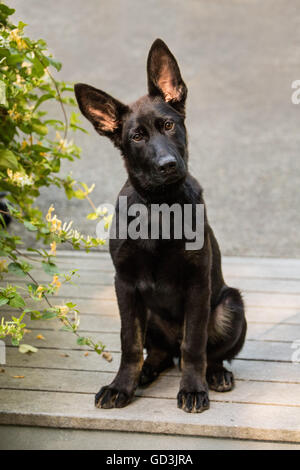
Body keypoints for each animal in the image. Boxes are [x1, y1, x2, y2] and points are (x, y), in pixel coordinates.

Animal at [74, 40, 246, 414]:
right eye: (137, 137)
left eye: (168, 125)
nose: (168, 165)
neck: (160, 206)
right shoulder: (125, 284)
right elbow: (129, 344)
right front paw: (121, 386)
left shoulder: (197, 284)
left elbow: (194, 344)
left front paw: (193, 389)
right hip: (149, 312)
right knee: (160, 352)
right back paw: (146, 372)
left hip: (229, 304)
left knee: (203, 351)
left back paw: (215, 374)